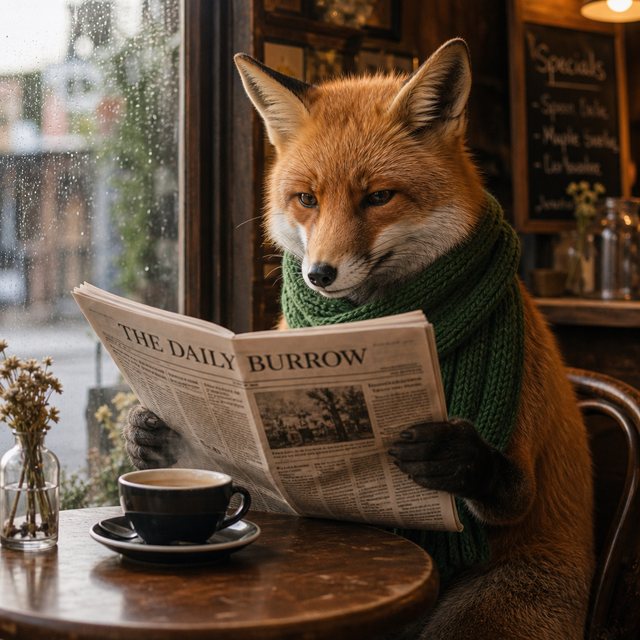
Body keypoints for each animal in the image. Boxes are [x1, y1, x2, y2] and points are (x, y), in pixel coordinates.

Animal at [124, 39, 594, 639]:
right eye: (306, 199)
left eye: (379, 198)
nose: (319, 275)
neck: (372, 317)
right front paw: (148, 431)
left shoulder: (522, 473)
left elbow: (511, 490)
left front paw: (450, 454)